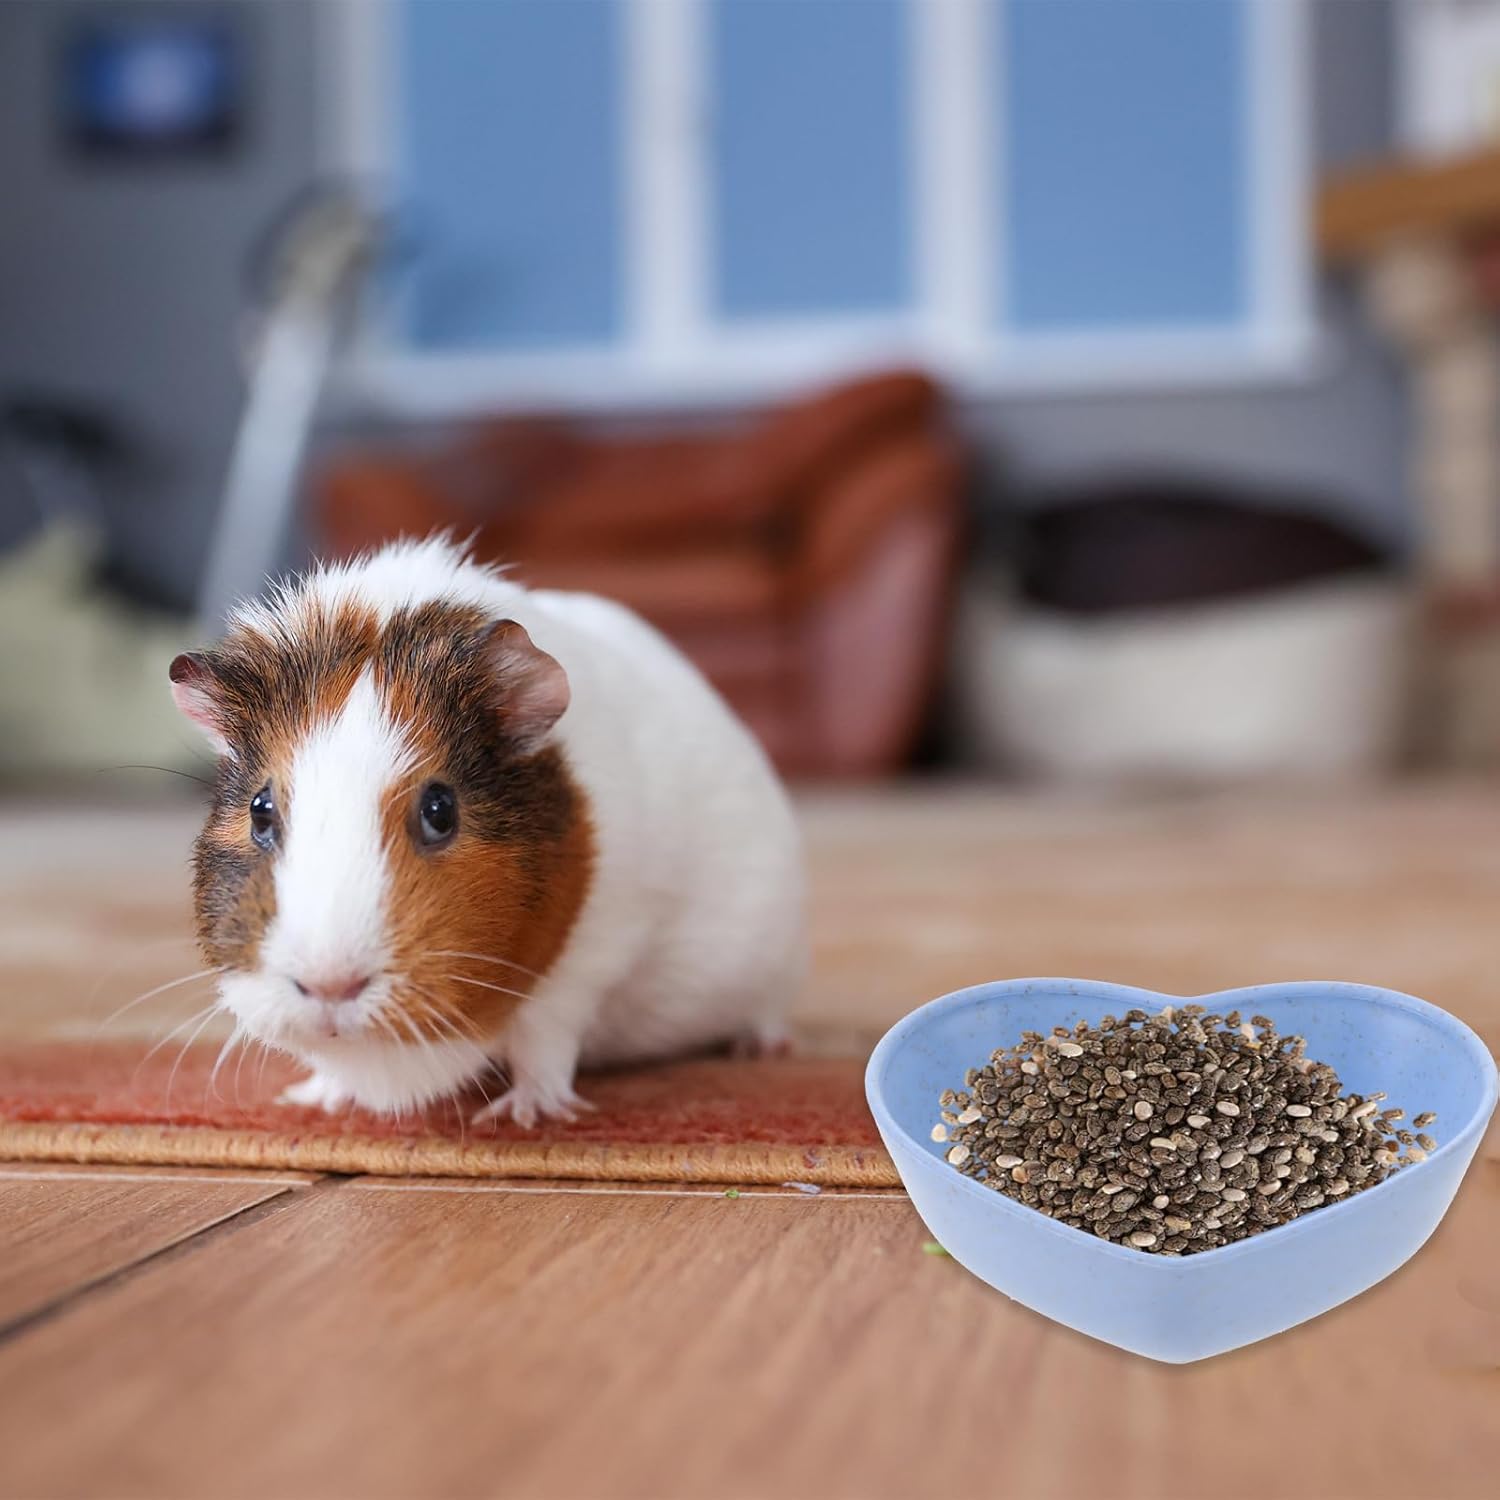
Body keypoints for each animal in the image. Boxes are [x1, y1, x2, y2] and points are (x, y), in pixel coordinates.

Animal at [169, 535, 805, 1124]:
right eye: (260, 810)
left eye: (440, 809)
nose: (330, 985)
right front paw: (314, 1099)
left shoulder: (589, 959)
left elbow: (545, 1042)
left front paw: (527, 1114)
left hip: (771, 967)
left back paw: (763, 1050)